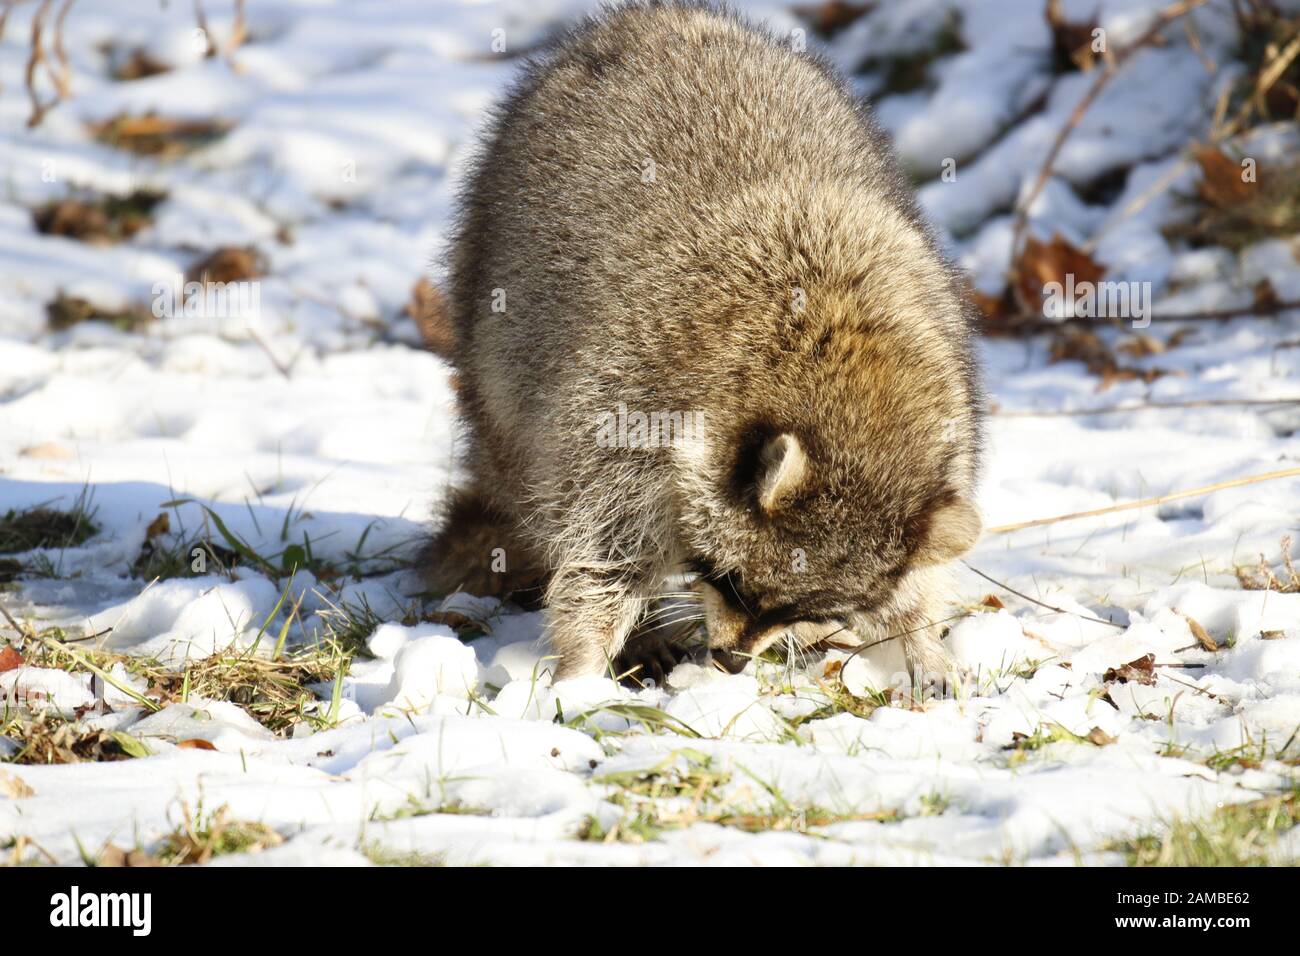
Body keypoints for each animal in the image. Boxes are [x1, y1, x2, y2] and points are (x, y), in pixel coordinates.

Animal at [426, 3, 982, 686]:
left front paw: (919, 633)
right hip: (490, 309)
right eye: (730, 579)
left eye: (802, 606)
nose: (730, 662)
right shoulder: (628, 403)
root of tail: (654, 17)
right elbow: (601, 548)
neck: (844, 359)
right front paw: (585, 661)